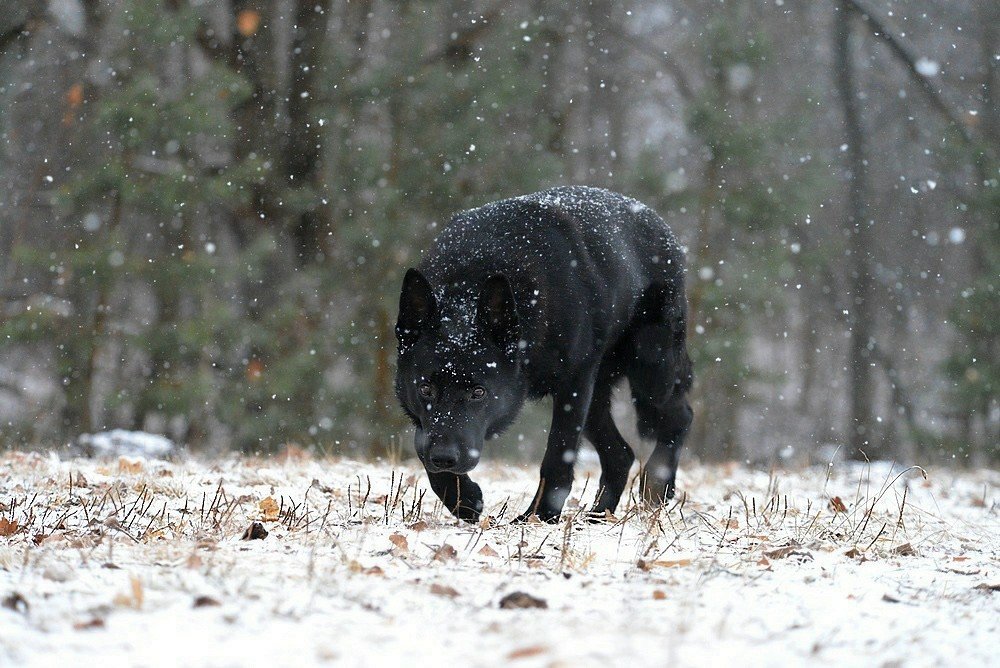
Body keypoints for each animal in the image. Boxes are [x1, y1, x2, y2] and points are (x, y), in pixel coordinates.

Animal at [394, 185, 692, 524]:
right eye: (426, 389)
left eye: (479, 392)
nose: (445, 457)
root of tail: (657, 222)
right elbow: (422, 446)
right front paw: (464, 499)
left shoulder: (573, 384)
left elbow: (558, 456)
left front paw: (539, 518)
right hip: (597, 397)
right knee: (621, 454)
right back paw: (598, 517)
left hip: (649, 368)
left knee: (680, 416)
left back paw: (656, 487)